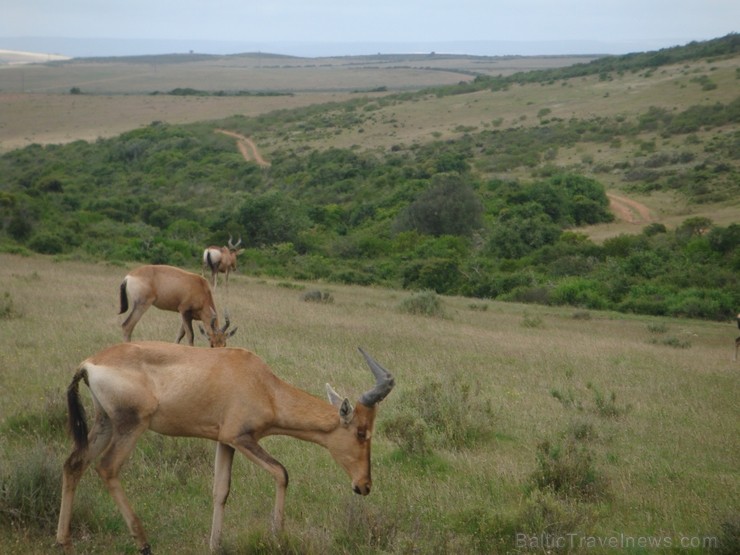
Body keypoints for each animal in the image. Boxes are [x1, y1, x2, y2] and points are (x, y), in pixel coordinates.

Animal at [55, 346, 396, 552]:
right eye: (362, 432)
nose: (364, 485)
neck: (262, 383)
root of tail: (88, 364)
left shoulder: (224, 442)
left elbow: (221, 490)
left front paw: (215, 544)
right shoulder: (241, 438)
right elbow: (282, 473)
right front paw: (277, 537)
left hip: (104, 423)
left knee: (73, 464)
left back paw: (63, 541)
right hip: (130, 425)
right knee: (107, 468)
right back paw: (143, 542)